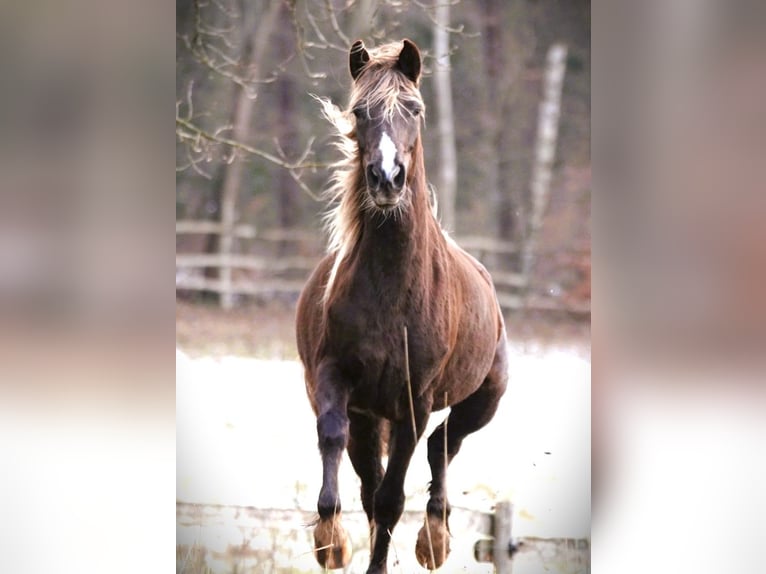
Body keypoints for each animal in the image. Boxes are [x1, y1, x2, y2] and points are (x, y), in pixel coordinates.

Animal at [296, 38, 509, 573]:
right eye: (359, 112)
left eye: (414, 109)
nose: (387, 178)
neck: (392, 288)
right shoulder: (337, 380)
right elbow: (337, 450)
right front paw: (331, 541)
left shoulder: (416, 400)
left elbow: (392, 498)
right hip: (371, 417)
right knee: (382, 475)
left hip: (483, 400)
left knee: (442, 446)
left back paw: (434, 539)